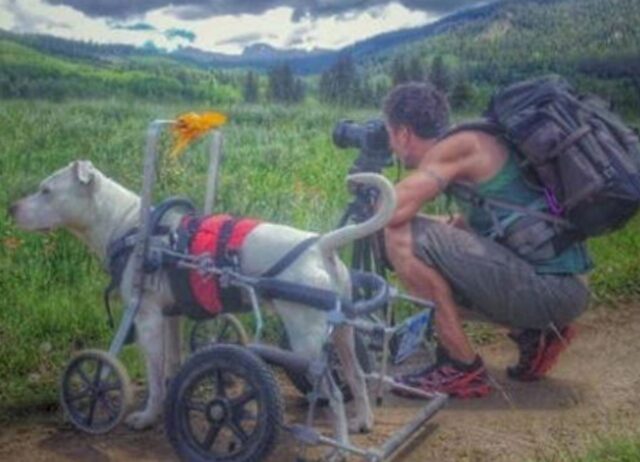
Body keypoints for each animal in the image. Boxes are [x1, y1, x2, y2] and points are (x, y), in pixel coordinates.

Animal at [11, 161, 396, 442]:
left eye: (46, 190)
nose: (12, 206)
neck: (130, 226)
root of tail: (322, 244)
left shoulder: (146, 319)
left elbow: (152, 376)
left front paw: (145, 416)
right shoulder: (171, 317)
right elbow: (172, 363)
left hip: (307, 342)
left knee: (333, 393)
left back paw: (340, 444)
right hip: (342, 335)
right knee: (357, 376)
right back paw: (364, 421)